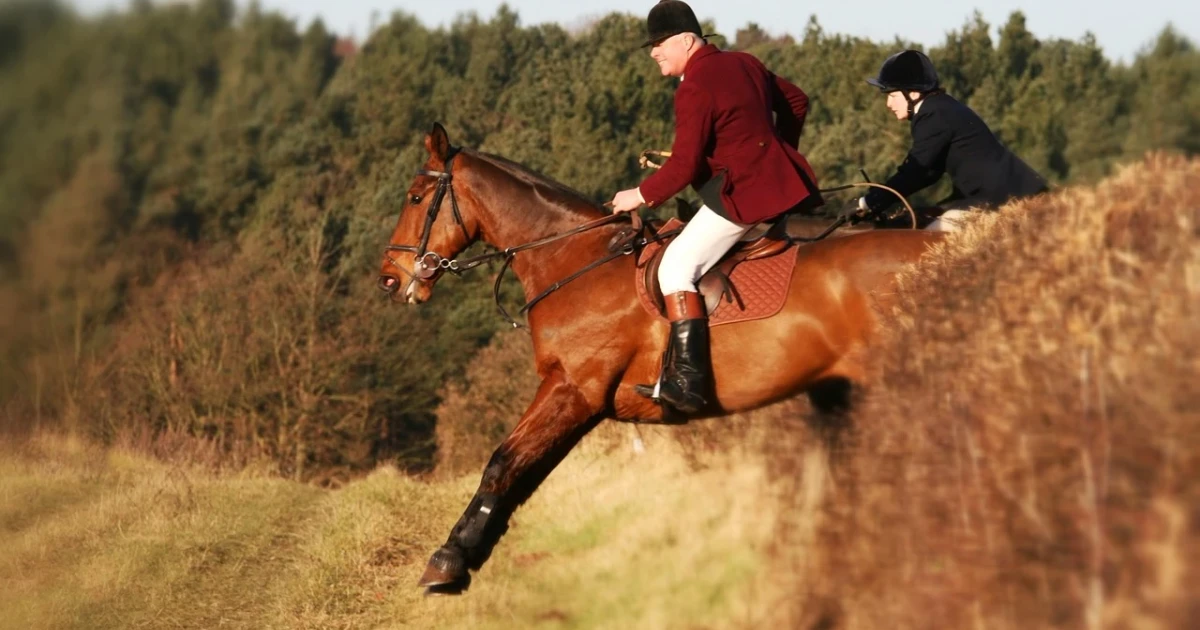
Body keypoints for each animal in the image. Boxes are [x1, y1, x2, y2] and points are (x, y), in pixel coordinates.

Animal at [377, 123, 940, 595]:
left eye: (415, 197)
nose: (388, 278)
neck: (574, 258)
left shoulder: (573, 390)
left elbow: (503, 463)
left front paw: (448, 560)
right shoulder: (582, 400)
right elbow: (522, 474)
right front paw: (470, 552)